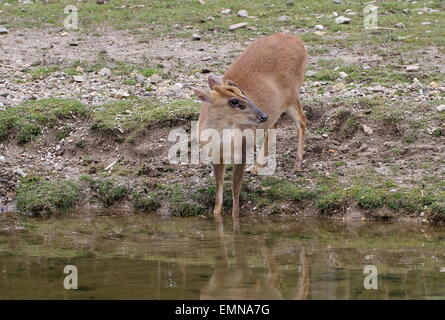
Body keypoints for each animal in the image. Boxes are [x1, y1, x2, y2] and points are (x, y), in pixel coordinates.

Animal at [194, 32, 308, 218]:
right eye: (234, 101)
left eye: (244, 94)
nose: (262, 115)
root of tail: (297, 40)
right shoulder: (215, 155)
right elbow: (219, 187)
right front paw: (216, 214)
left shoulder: (242, 148)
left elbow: (235, 187)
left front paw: (235, 215)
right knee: (274, 125)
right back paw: (256, 166)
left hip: (292, 93)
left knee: (302, 121)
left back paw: (297, 164)